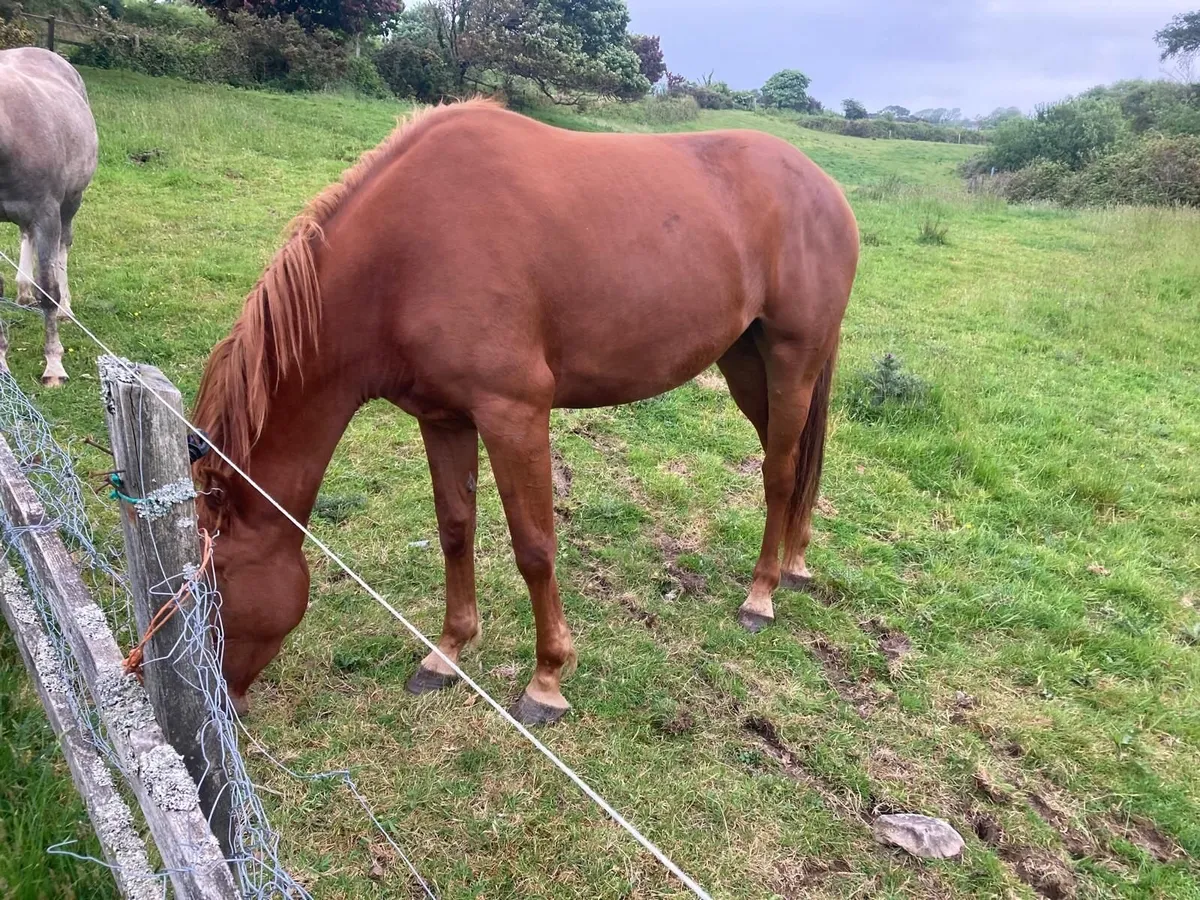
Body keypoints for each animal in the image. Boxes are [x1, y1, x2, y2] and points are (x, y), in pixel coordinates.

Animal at [0, 47, 97, 386]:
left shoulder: (47, 213)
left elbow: (49, 290)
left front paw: (54, 364)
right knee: (26, 234)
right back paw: (23, 290)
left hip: (70, 203)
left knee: (63, 246)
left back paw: (66, 308)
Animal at [192, 99, 859, 726]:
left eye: (212, 593)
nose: (221, 706)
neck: (404, 257)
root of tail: (824, 185)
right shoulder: (443, 418)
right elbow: (455, 530)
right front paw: (446, 654)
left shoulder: (514, 413)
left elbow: (535, 548)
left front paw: (547, 681)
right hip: (745, 363)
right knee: (791, 463)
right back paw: (795, 562)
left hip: (792, 360)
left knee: (779, 473)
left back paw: (760, 596)